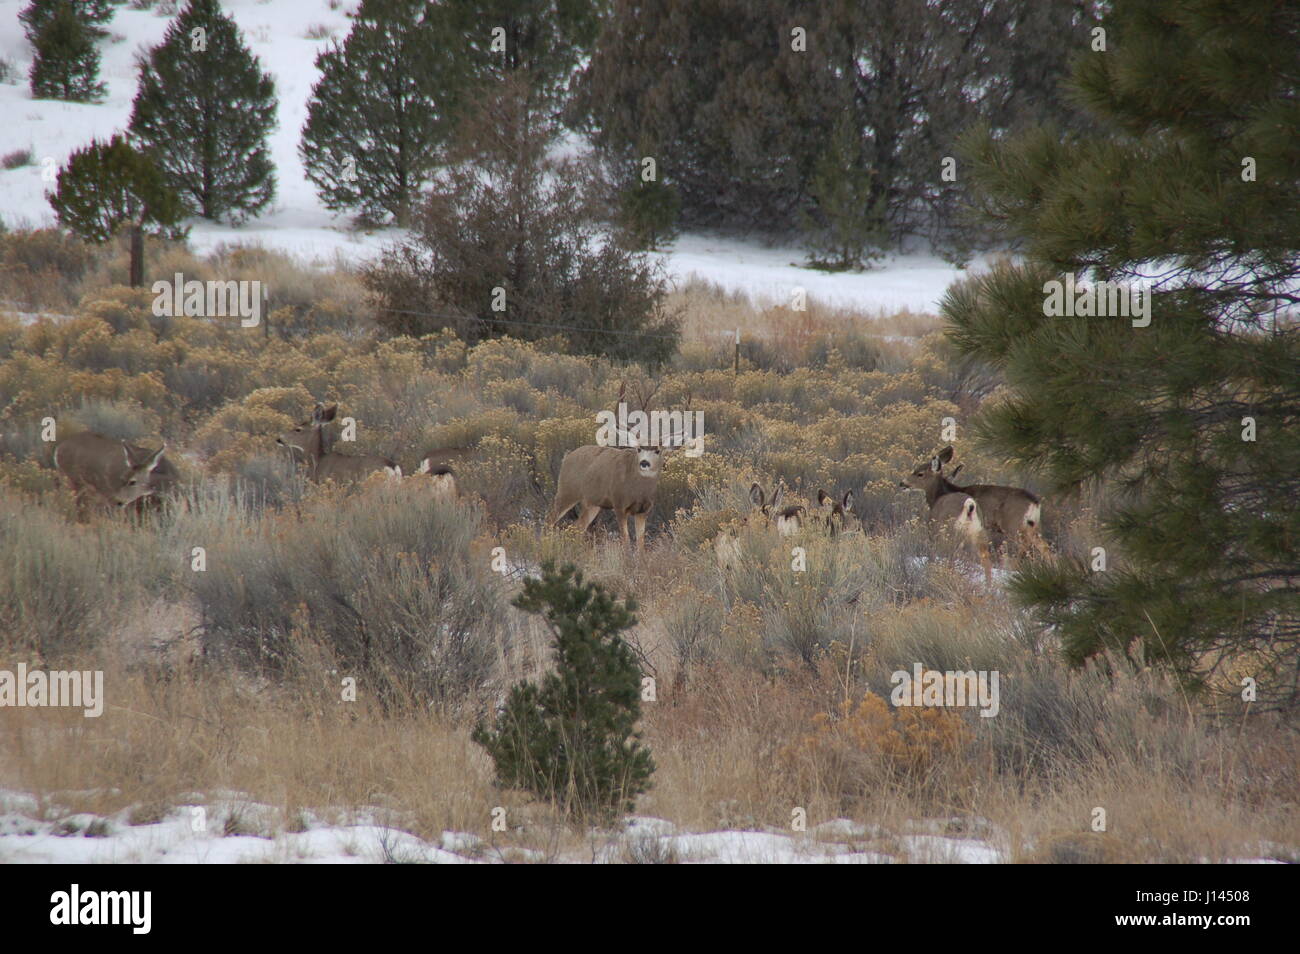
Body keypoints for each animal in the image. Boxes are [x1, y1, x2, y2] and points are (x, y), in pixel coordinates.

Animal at [549, 380, 689, 552]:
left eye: (657, 450)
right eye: (639, 449)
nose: (644, 462)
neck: (638, 491)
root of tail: (567, 457)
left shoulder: (644, 511)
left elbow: (641, 544)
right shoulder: (619, 504)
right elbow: (626, 541)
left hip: (592, 503)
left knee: (578, 526)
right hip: (566, 492)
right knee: (550, 520)